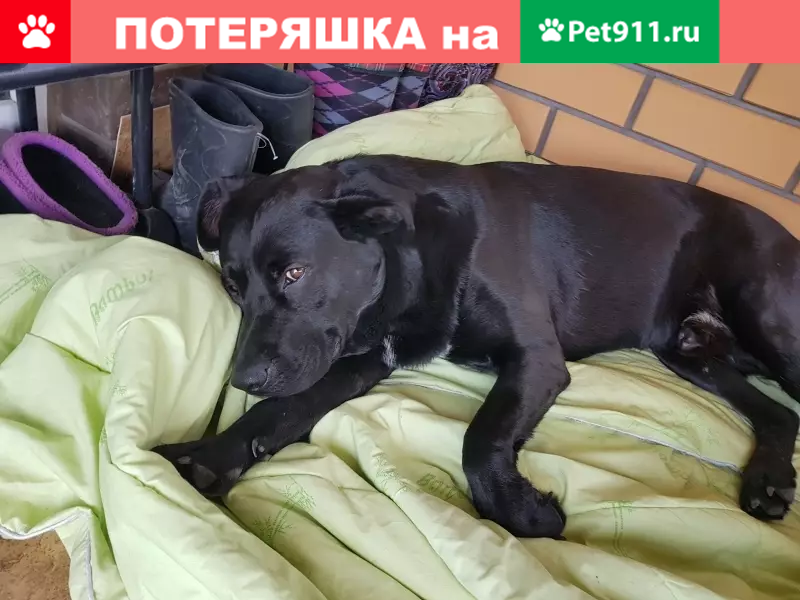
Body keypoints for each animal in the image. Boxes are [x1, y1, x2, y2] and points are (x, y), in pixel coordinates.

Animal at [154, 155, 799, 539]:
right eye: (232, 287)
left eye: (294, 273)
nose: (242, 379)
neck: (411, 262)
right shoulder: (359, 360)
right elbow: (281, 411)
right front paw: (211, 455)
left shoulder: (537, 360)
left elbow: (481, 438)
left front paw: (521, 512)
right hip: (687, 351)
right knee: (780, 414)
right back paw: (769, 480)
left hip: (763, 315)